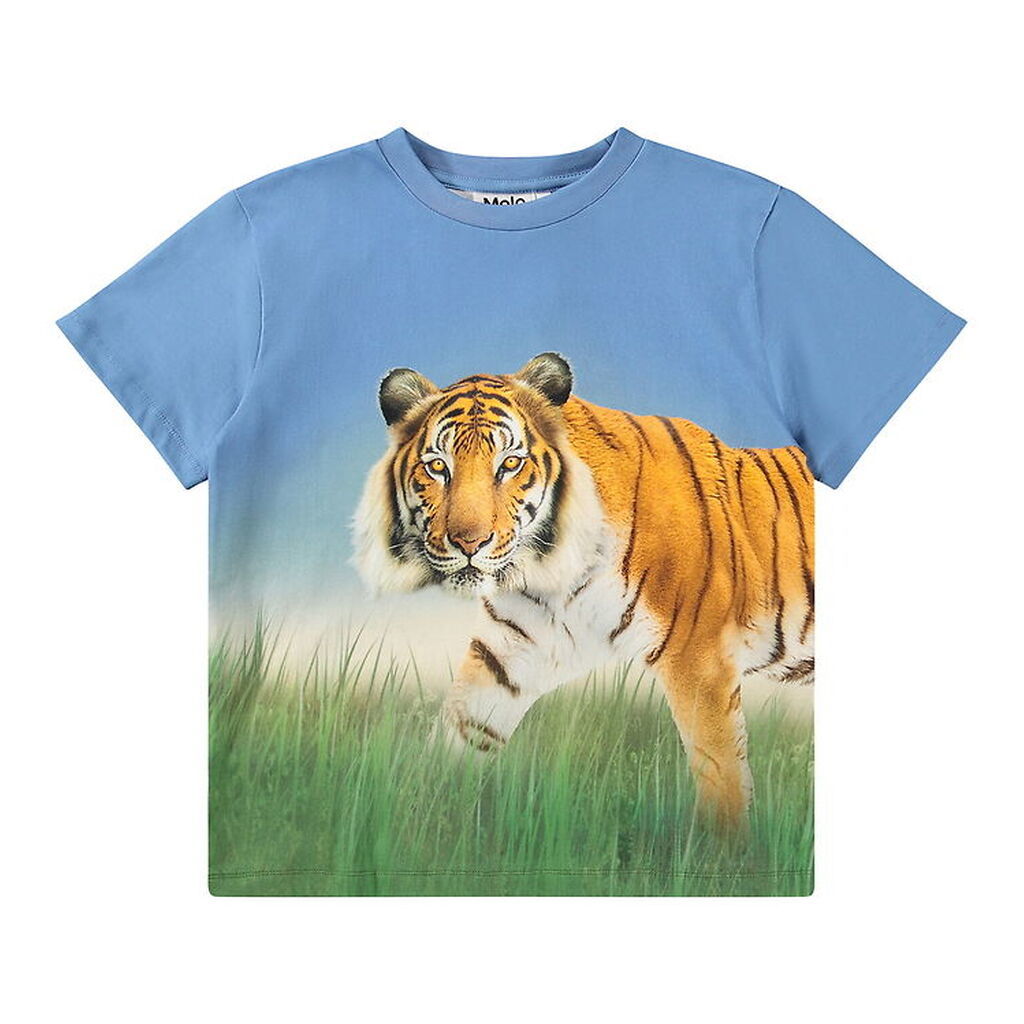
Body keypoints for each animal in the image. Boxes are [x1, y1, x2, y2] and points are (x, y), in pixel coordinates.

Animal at [353, 352, 814, 828]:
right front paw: (418, 822)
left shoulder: (699, 659)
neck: (551, 572)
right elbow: (456, 739)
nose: (468, 542)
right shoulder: (506, 654)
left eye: (510, 464)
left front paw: (721, 847)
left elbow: (721, 778)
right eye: (438, 467)